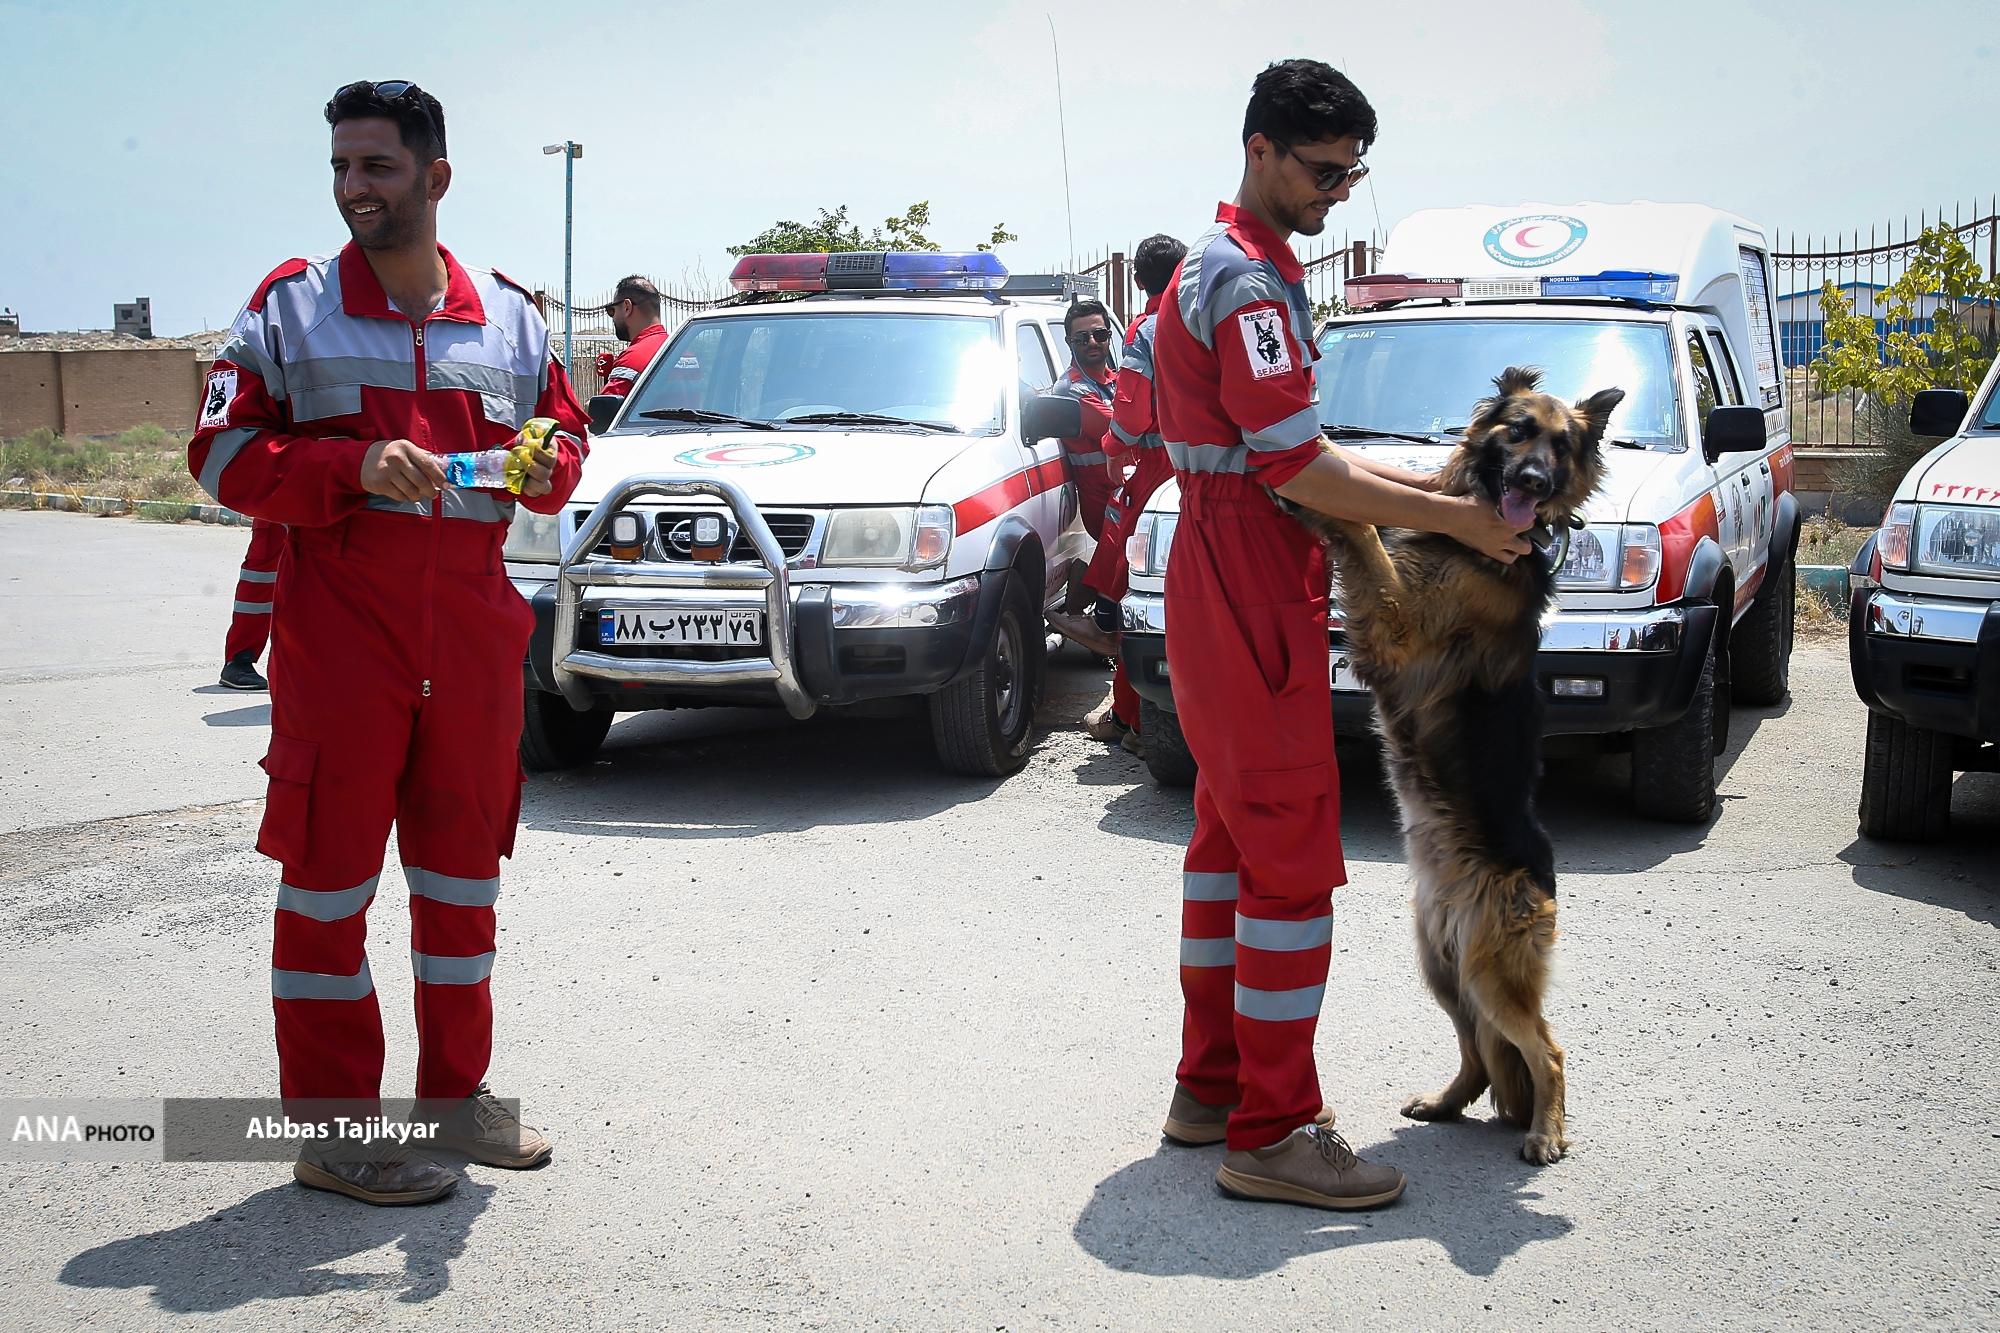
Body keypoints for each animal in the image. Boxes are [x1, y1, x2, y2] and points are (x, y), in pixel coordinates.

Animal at [1279, 366, 1624, 1164]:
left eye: (1563, 447)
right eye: (1518, 430)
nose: (1534, 480)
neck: (1478, 540)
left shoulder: (1396, 626)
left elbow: (1364, 535)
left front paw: (1313, 491)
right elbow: (1366, 526)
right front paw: (1310, 475)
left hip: (1488, 971)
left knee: (1547, 1051)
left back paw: (1545, 1132)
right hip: (1441, 965)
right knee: (1479, 1054)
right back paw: (1445, 1103)